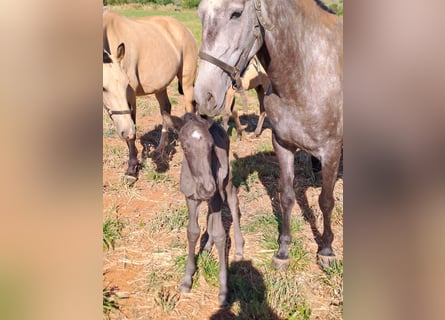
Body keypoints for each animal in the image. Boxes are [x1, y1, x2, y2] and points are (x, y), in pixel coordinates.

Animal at [103, 9, 197, 180]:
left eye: (126, 84)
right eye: (104, 88)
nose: (125, 131)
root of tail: (184, 29)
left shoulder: (130, 96)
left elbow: (133, 130)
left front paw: (132, 169)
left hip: (187, 82)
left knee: (190, 108)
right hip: (160, 87)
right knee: (166, 109)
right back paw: (160, 149)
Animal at [166, 112, 245, 304]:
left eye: (211, 146)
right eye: (185, 147)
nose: (208, 188)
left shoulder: (216, 195)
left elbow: (220, 234)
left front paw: (223, 288)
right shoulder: (190, 198)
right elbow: (192, 231)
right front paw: (187, 279)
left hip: (226, 179)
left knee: (233, 201)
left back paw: (239, 248)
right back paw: (208, 246)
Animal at [193, 0, 342, 268]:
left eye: (236, 13)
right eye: (200, 13)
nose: (204, 96)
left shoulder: (331, 151)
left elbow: (326, 201)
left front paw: (326, 250)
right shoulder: (282, 145)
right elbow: (287, 197)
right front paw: (283, 251)